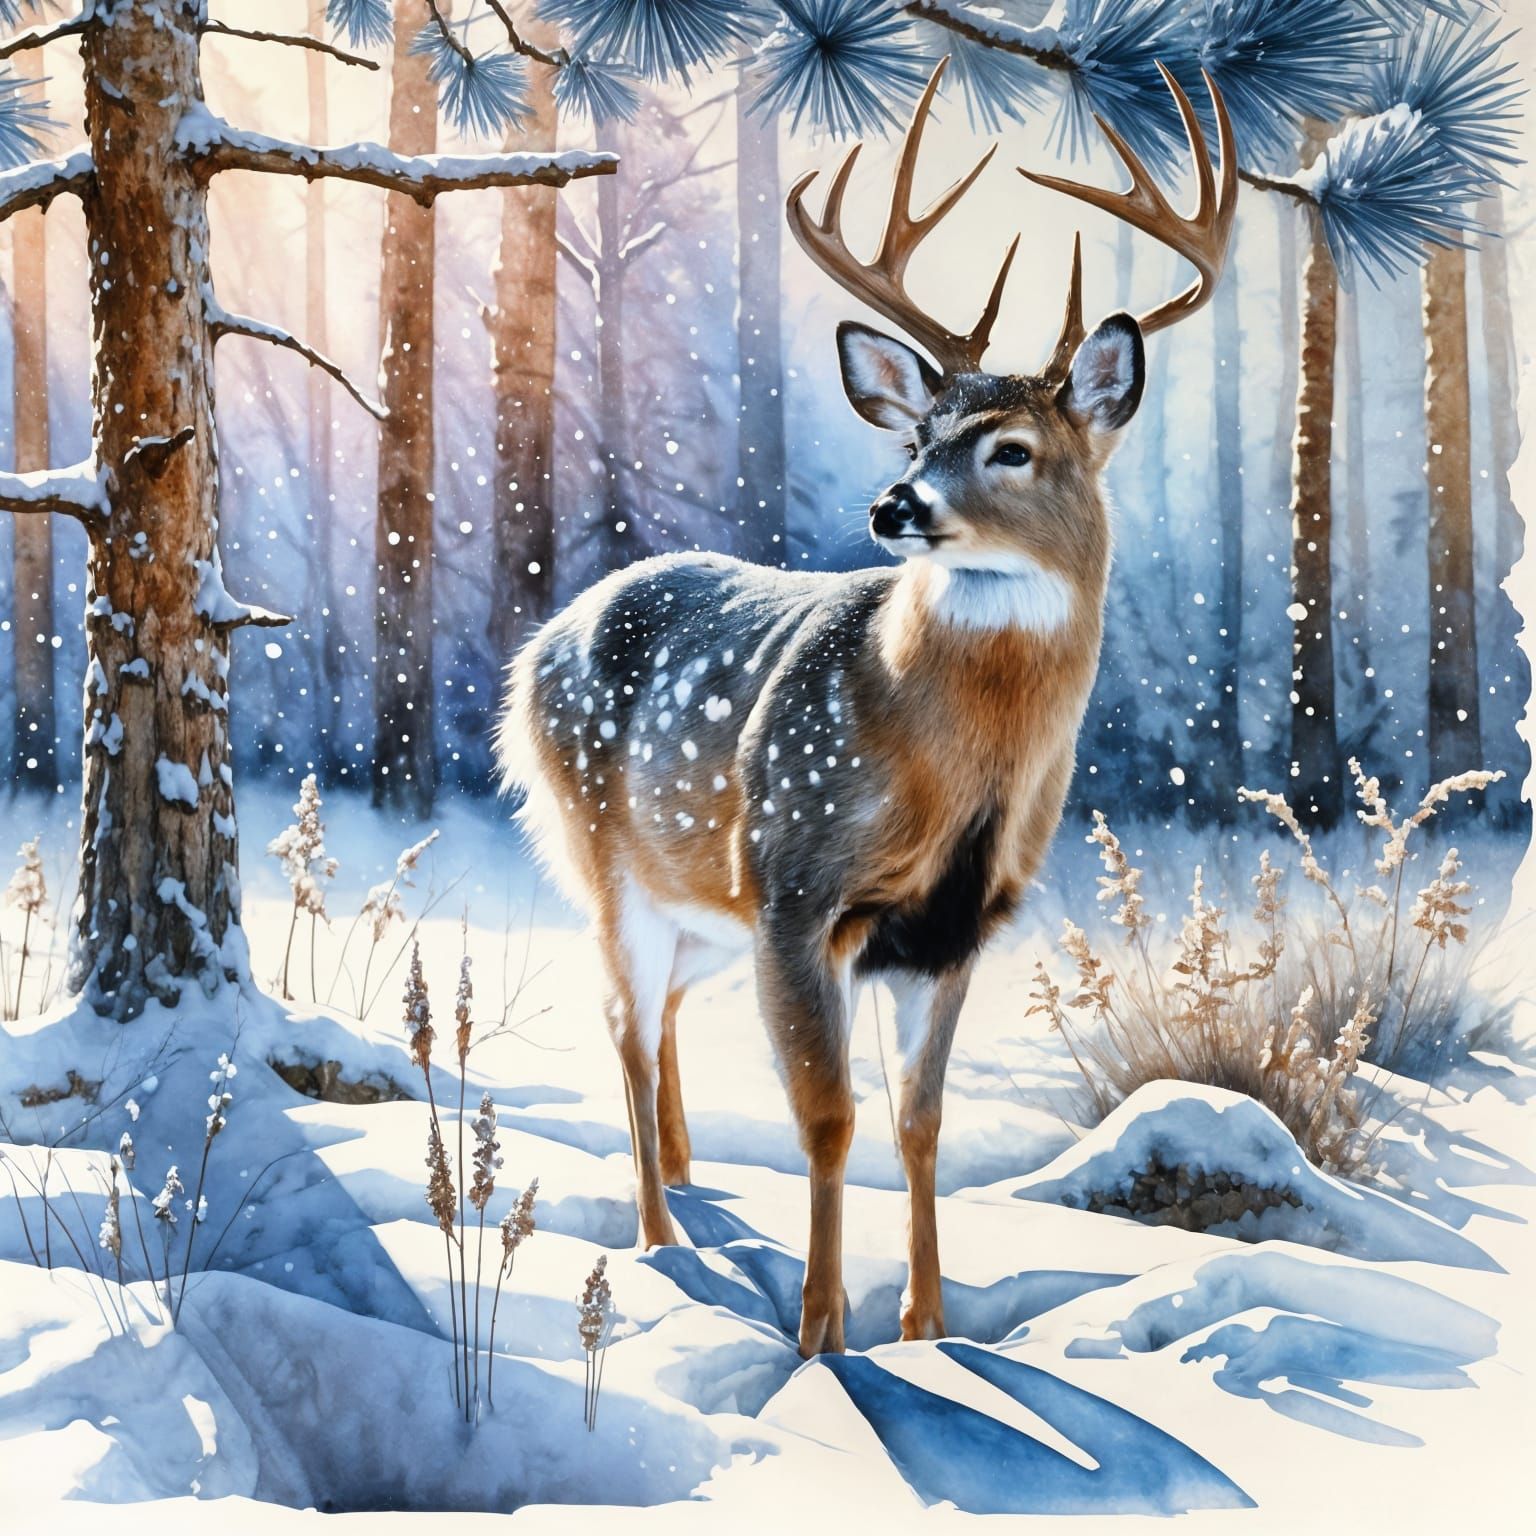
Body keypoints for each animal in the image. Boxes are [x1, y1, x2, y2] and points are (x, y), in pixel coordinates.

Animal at [496, 58, 1235, 1357]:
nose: (895, 505)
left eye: (1010, 448)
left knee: (661, 1019)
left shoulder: (949, 931)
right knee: (623, 1024)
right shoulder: (800, 889)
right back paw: (659, 1238)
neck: (954, 778)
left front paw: (926, 1325)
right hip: (604, 852)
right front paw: (821, 1338)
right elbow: (829, 1117)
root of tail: (539, 642)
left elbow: (917, 1121)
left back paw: (686, 1178)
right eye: (918, 435)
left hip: (704, 901)